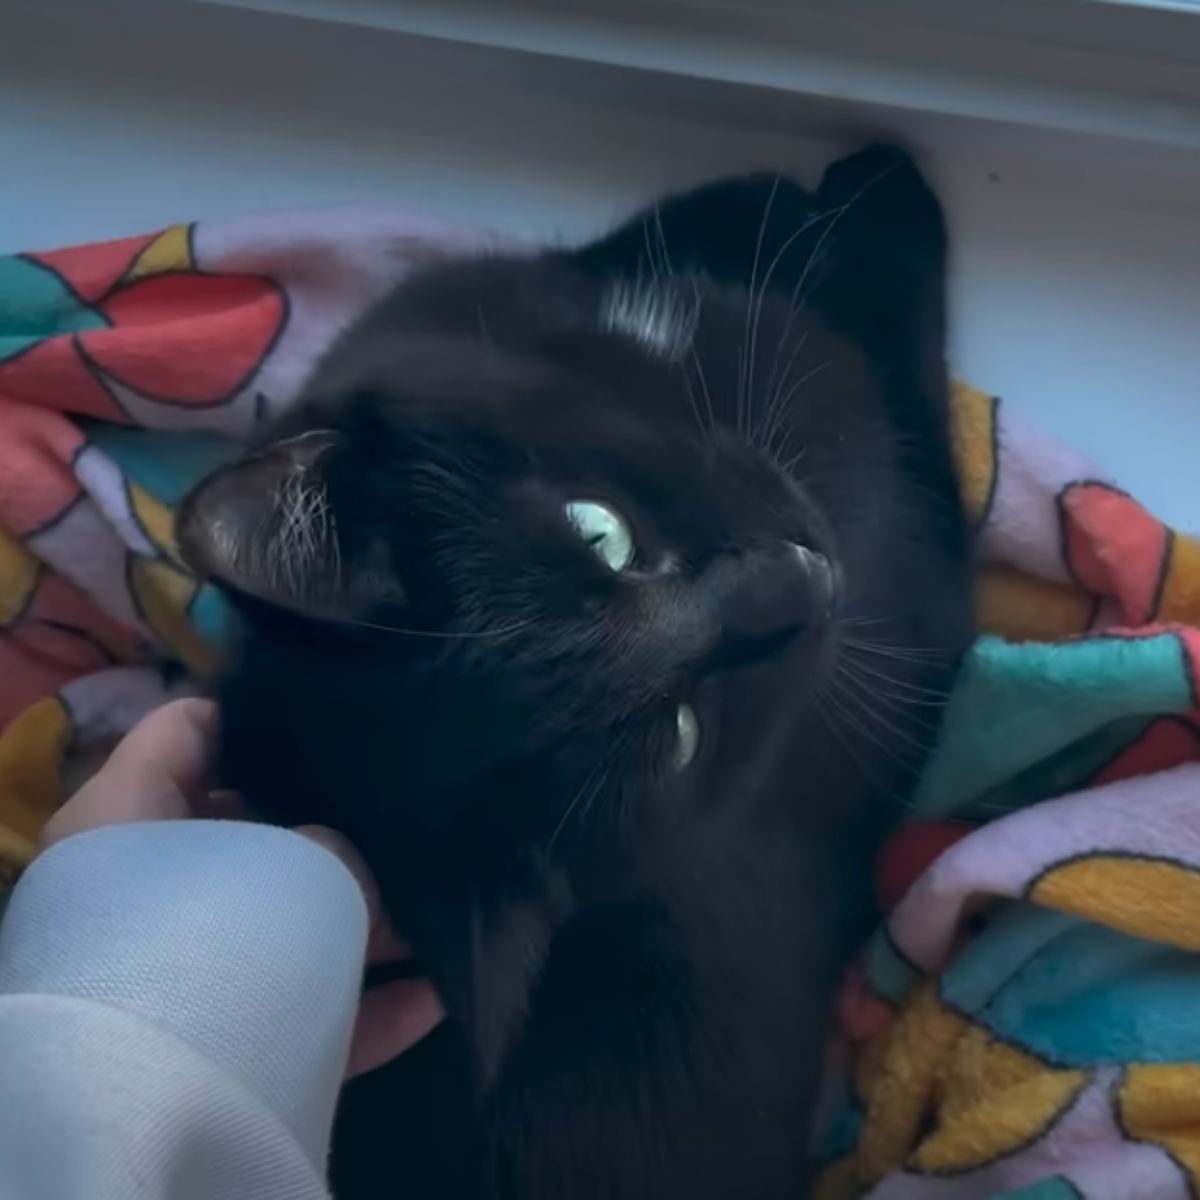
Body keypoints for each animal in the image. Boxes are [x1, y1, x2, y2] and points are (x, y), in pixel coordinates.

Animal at [180, 142, 974, 1200]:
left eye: (600, 533)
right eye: (683, 736)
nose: (803, 582)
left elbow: (699, 227)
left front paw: (808, 190)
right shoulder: (915, 580)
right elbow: (900, 369)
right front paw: (885, 192)